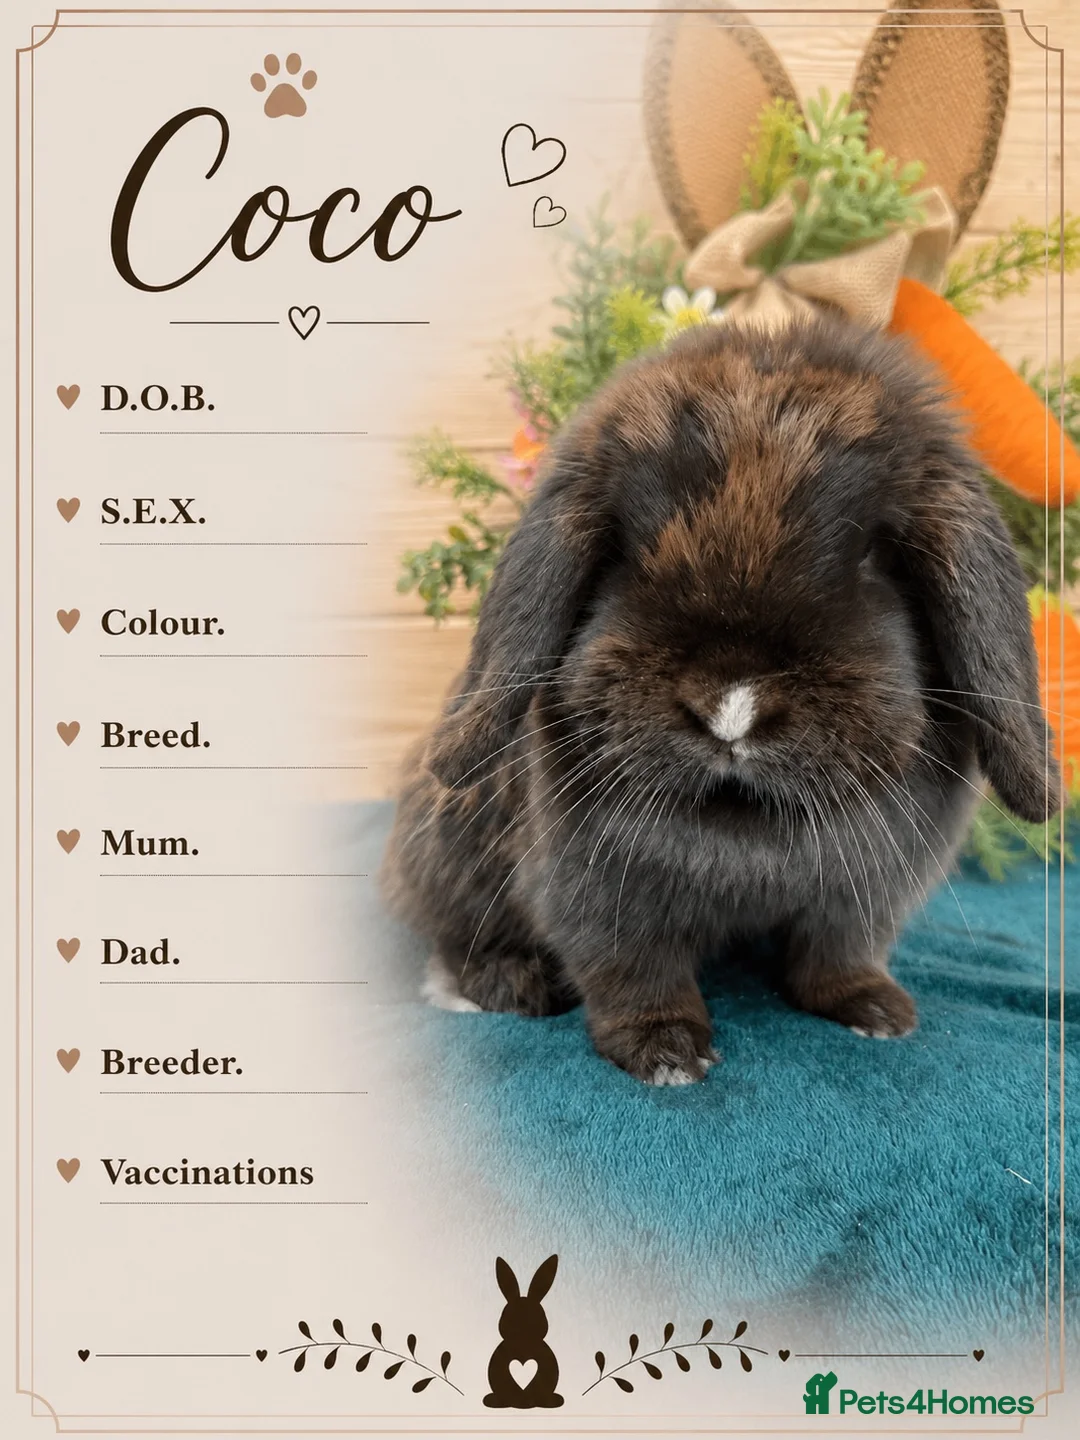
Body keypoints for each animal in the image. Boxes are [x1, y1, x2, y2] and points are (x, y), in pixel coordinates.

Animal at [382, 316, 1059, 1085]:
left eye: (873, 557)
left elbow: (837, 955)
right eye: (625, 548)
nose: (732, 708)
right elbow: (633, 972)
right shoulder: (597, 893)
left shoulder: (865, 898)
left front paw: (878, 1011)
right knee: (455, 935)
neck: (745, 821)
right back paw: (512, 984)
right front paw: (666, 1053)